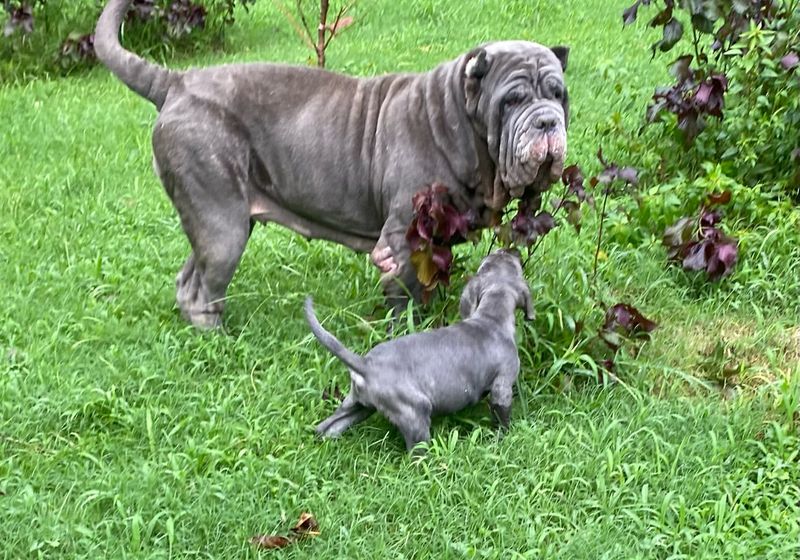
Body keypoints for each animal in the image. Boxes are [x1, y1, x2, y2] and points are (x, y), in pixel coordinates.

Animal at [94, 0, 568, 328]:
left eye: (559, 94)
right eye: (512, 100)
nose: (547, 121)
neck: (456, 120)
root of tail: (177, 83)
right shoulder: (400, 238)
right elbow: (405, 294)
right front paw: (409, 331)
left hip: (218, 218)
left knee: (190, 278)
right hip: (221, 223)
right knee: (205, 287)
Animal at [304, 252, 532, 452]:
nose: (510, 250)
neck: (491, 317)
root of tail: (365, 364)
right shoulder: (502, 386)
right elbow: (502, 419)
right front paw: (504, 438)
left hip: (357, 405)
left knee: (327, 427)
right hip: (415, 412)